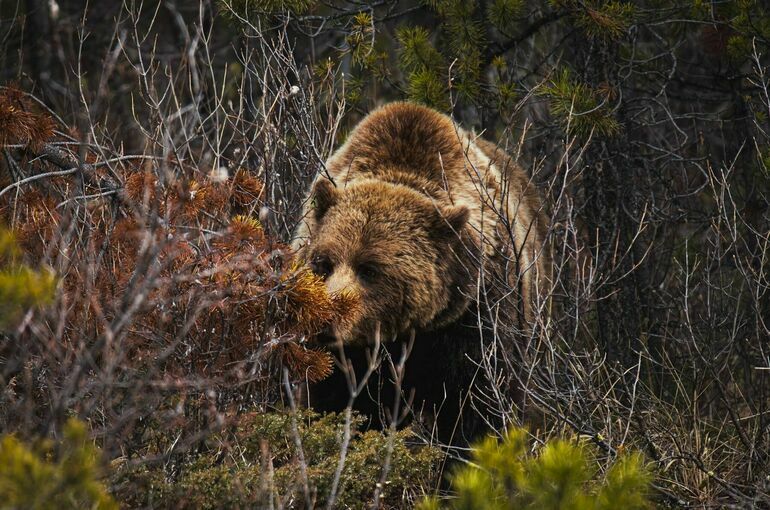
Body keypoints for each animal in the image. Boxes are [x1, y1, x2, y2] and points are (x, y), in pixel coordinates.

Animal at [292, 101, 548, 444]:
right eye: (323, 262)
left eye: (369, 268)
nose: (325, 318)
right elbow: (333, 400)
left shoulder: (475, 317)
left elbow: (476, 406)